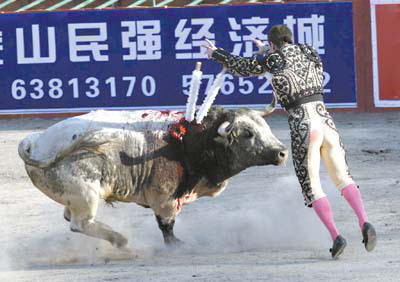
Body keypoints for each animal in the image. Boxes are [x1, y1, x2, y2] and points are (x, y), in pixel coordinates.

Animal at [18, 107, 288, 248]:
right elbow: (166, 226)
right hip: (85, 194)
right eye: (248, 133)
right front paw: (177, 246)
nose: (282, 152)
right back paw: (120, 240)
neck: (190, 140)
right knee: (79, 223)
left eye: (266, 127)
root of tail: (35, 142)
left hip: (73, 196)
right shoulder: (164, 198)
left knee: (71, 218)